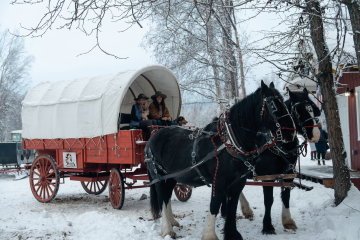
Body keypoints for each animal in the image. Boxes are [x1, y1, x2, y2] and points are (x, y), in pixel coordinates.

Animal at [145, 81, 296, 240]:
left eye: (285, 103)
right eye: (273, 105)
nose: (291, 133)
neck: (230, 141)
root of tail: (153, 136)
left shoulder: (238, 182)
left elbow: (232, 206)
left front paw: (232, 233)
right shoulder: (219, 180)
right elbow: (215, 204)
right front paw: (209, 234)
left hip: (172, 176)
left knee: (167, 197)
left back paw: (173, 221)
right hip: (158, 176)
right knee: (161, 198)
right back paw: (167, 229)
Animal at [235, 86, 322, 234]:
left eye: (314, 109)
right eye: (298, 111)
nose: (315, 135)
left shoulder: (289, 174)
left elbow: (286, 196)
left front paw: (288, 221)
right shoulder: (267, 176)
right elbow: (268, 200)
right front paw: (267, 226)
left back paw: (245, 210)